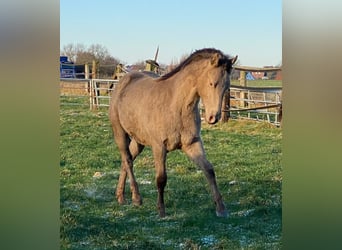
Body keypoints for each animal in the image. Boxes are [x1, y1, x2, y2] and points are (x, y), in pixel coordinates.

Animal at [109, 48, 238, 217]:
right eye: (212, 83)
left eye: (226, 86)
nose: (213, 117)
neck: (176, 105)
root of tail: (123, 81)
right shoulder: (159, 147)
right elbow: (161, 178)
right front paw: (161, 211)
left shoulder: (192, 144)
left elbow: (209, 170)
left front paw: (221, 209)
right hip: (120, 133)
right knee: (128, 160)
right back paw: (136, 198)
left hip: (139, 140)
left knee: (126, 160)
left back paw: (120, 196)